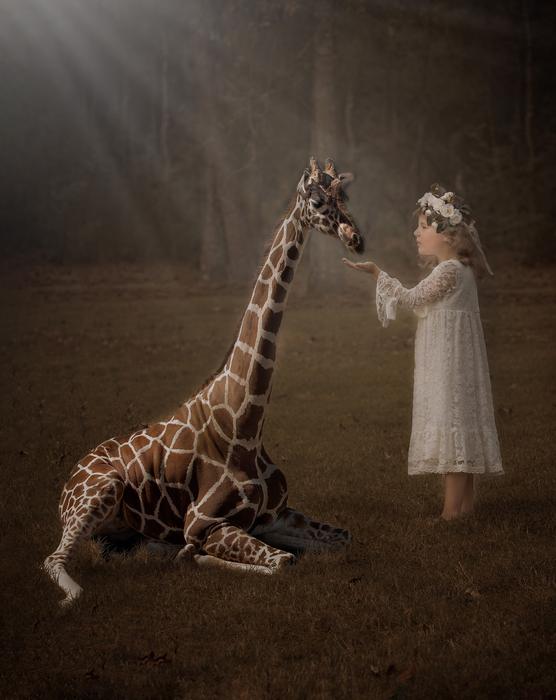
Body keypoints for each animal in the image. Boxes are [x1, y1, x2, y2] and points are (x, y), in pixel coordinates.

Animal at [43, 156, 365, 606]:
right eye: (317, 201)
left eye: (344, 195)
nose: (356, 239)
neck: (244, 423)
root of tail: (69, 478)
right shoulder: (204, 522)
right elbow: (282, 562)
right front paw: (191, 555)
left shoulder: (277, 515)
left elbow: (344, 539)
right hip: (98, 493)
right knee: (54, 558)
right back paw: (76, 595)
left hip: (115, 529)